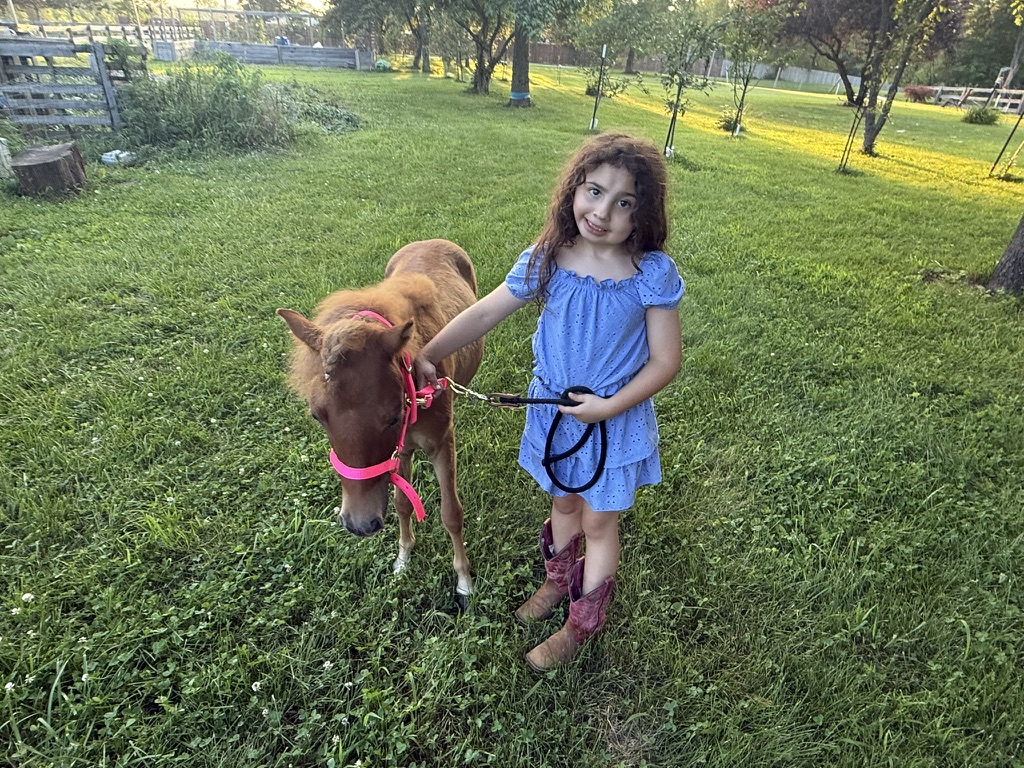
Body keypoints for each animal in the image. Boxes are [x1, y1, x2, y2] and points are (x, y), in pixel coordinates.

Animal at [278, 239, 484, 605]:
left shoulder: (440, 443)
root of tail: (430, 241)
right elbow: (402, 503)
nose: (360, 524)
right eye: (317, 416)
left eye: (392, 416)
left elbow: (451, 513)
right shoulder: (402, 450)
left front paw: (464, 582)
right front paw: (403, 558)